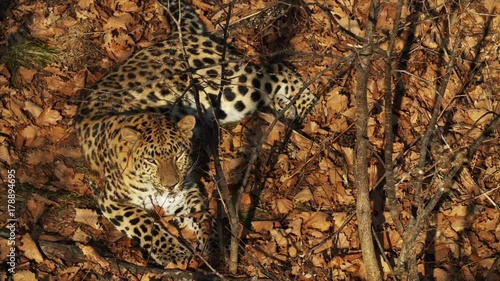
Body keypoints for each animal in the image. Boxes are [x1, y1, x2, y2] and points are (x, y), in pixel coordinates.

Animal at [74, 0, 316, 266]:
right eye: (151, 160)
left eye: (178, 155)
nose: (170, 185)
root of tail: (176, 36)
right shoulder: (113, 200)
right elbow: (145, 223)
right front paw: (174, 251)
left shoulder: (183, 189)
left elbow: (202, 215)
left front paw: (213, 245)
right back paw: (289, 108)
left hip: (230, 91)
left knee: (275, 68)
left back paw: (306, 103)